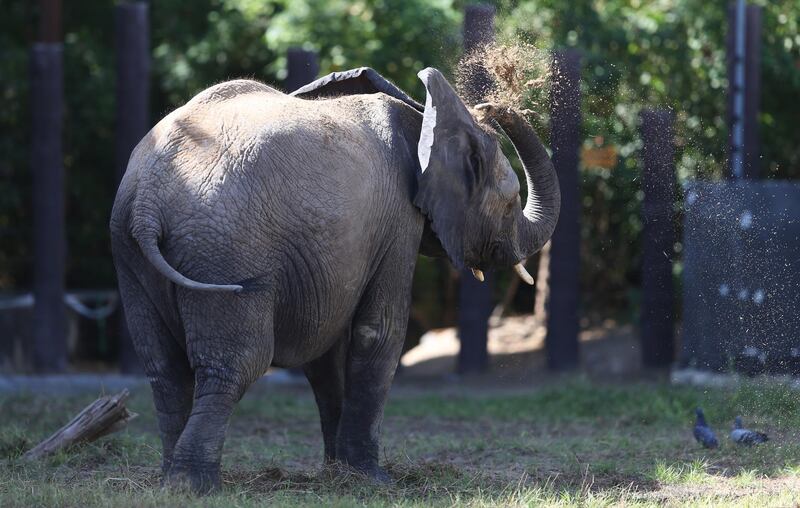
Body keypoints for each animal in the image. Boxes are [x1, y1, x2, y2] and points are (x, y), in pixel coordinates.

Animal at [109, 65, 560, 490]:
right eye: (511, 202)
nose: (491, 106)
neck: (423, 119)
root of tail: (148, 199)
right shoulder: (398, 221)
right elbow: (379, 333)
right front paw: (373, 480)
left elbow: (326, 351)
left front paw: (339, 474)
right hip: (225, 247)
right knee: (237, 364)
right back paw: (193, 485)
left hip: (131, 252)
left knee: (163, 368)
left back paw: (170, 480)